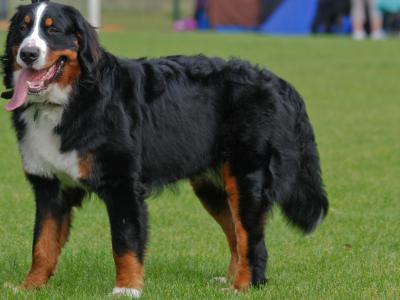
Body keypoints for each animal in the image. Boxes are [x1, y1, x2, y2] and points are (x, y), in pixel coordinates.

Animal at [1, 0, 328, 296]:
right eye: (22, 28)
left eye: (52, 30)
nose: (28, 53)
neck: (71, 99)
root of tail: (275, 80)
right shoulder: (49, 186)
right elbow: (42, 244)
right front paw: (29, 287)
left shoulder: (122, 185)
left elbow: (125, 242)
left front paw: (126, 289)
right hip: (213, 187)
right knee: (236, 234)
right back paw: (229, 281)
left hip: (245, 177)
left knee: (252, 240)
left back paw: (243, 287)